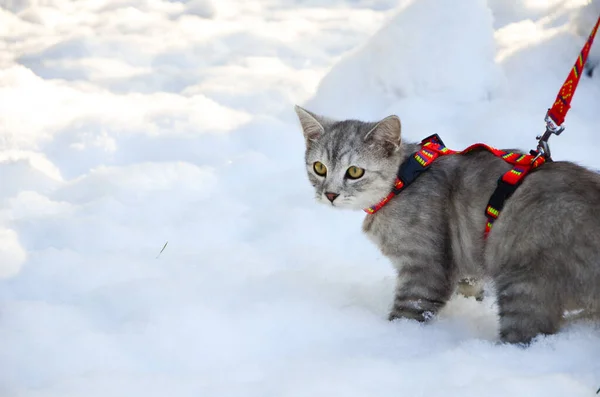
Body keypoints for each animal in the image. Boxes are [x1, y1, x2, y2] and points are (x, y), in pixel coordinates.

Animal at [294, 104, 600, 344]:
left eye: (355, 172)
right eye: (319, 168)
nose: (330, 194)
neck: (404, 180)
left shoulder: (426, 268)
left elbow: (409, 310)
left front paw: (393, 337)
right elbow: (470, 285)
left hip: (526, 282)